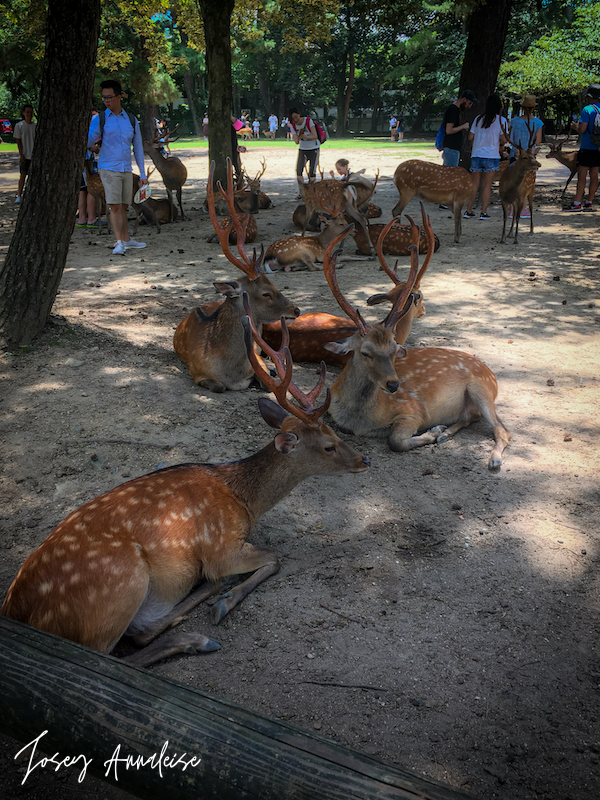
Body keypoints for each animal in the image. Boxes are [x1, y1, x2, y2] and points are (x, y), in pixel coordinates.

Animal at [1, 312, 370, 668]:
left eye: (334, 436)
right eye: (328, 446)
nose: (364, 459)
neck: (243, 501)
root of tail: (14, 612)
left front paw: (221, 594)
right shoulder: (221, 546)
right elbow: (274, 559)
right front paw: (225, 604)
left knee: (142, 630)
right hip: (121, 584)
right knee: (115, 651)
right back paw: (198, 636)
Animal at [173, 159, 300, 390]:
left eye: (275, 284)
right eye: (266, 293)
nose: (296, 310)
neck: (232, 372)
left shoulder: (256, 361)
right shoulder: (196, 372)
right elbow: (219, 386)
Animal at [324, 222, 510, 468]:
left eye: (394, 349)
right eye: (365, 352)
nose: (394, 384)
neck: (358, 419)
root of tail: (493, 375)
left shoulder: (412, 410)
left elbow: (395, 441)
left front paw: (432, 432)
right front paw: (437, 432)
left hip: (482, 389)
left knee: (502, 429)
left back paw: (493, 459)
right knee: (471, 416)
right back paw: (446, 433)